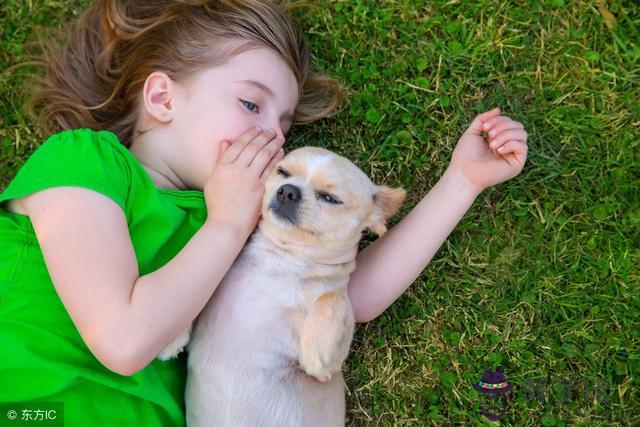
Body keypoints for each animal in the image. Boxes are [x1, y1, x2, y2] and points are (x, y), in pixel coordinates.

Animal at [161, 148, 404, 427]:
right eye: (282, 172)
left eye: (330, 198)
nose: (288, 190)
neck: (281, 259)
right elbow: (196, 292)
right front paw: (170, 334)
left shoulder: (328, 370)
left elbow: (332, 297)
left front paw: (317, 348)